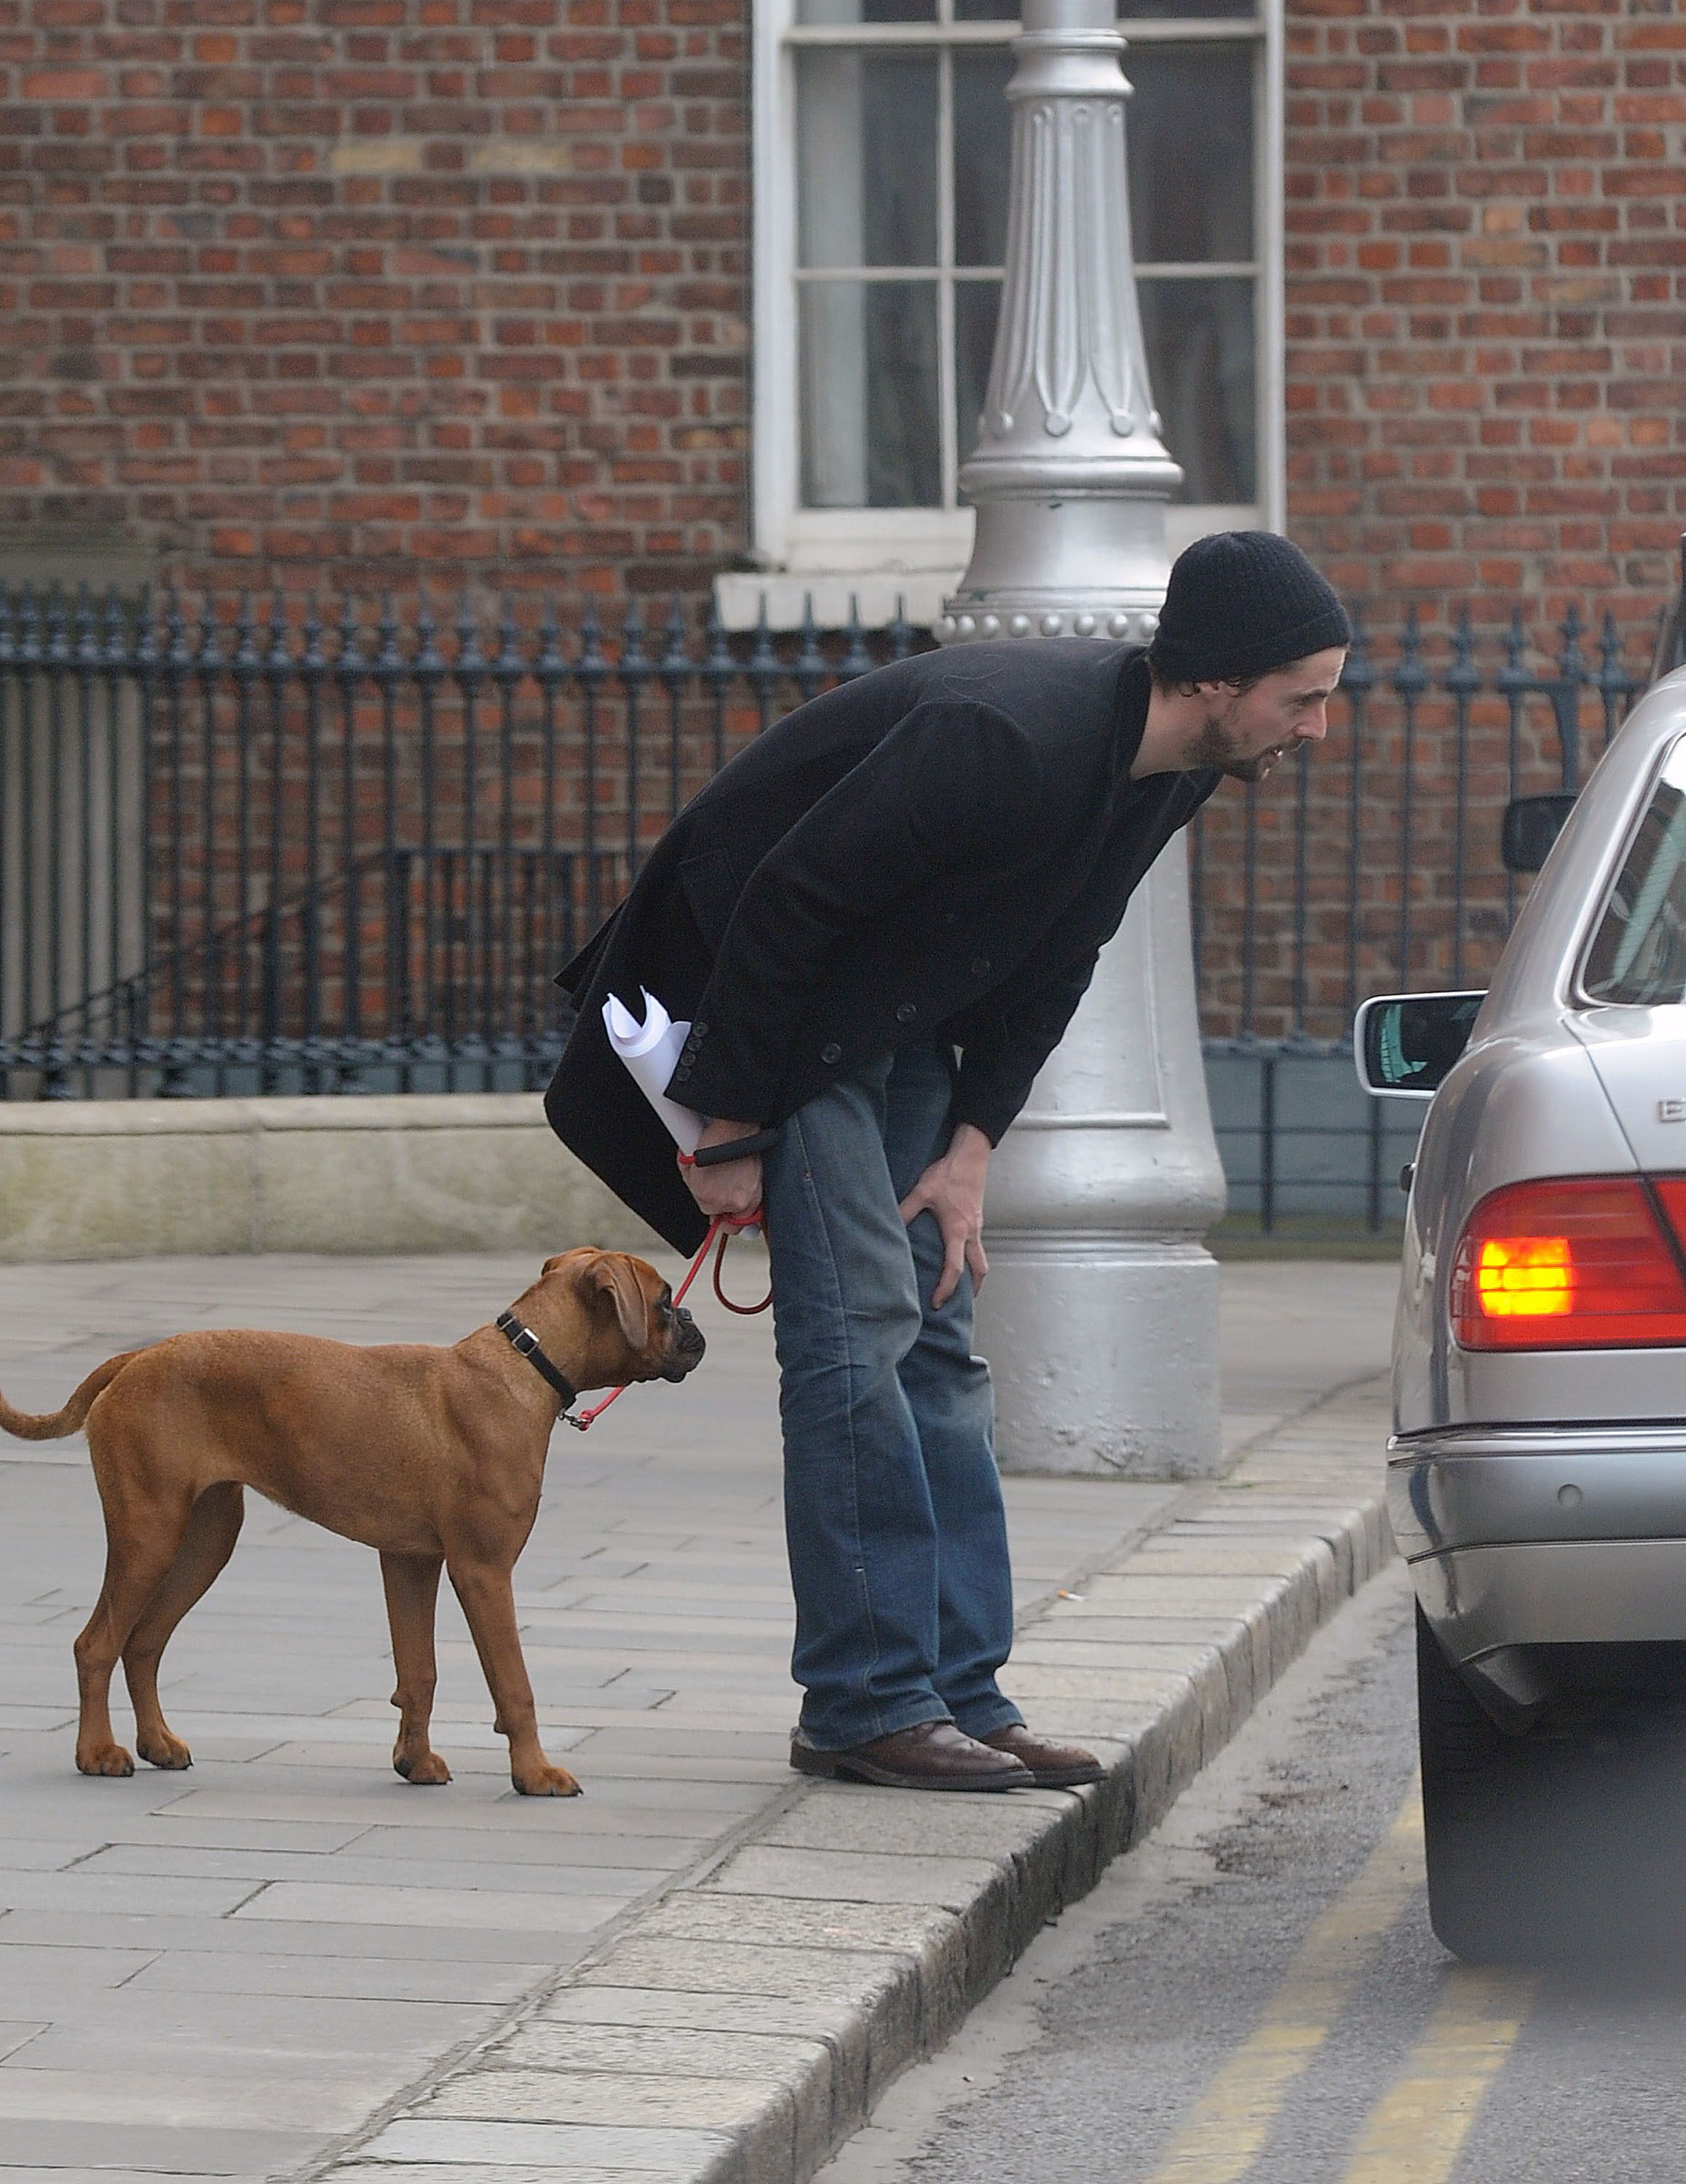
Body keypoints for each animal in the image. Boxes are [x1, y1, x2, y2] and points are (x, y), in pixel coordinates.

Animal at [0, 1258, 703, 1800]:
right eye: (665, 1300)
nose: (697, 1323)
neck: (525, 1363)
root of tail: (137, 1356)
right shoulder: (483, 1571)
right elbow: (514, 1684)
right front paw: (534, 1774)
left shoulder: (411, 1562)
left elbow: (419, 1672)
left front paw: (414, 1761)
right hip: (149, 1534)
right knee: (96, 1645)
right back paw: (97, 1753)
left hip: (203, 1540)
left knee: (142, 1644)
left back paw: (156, 1744)